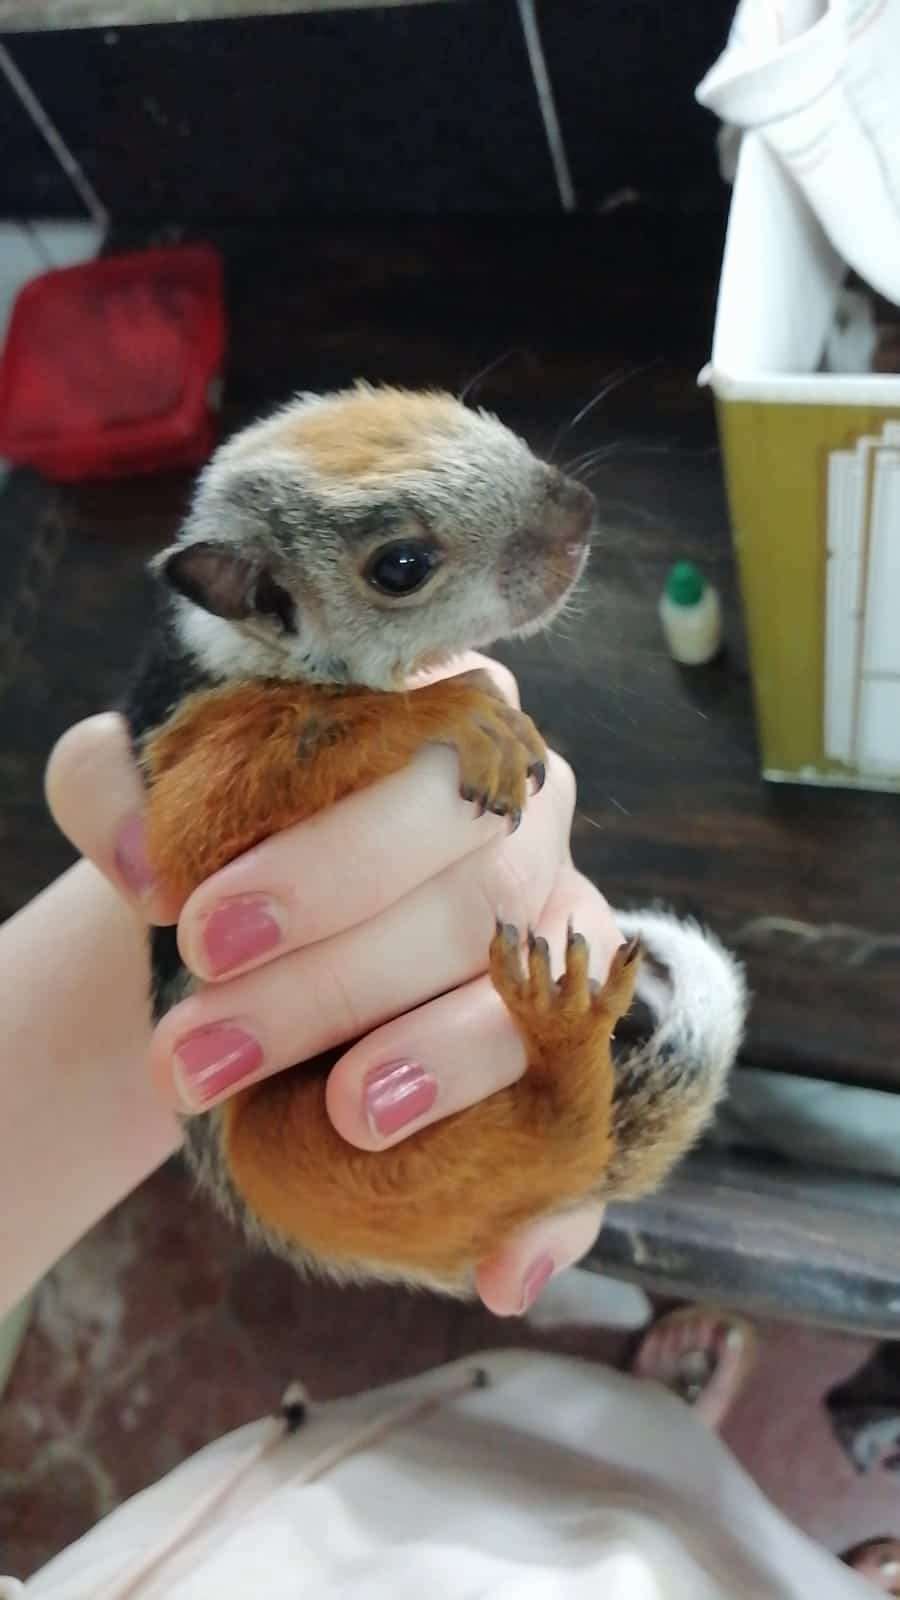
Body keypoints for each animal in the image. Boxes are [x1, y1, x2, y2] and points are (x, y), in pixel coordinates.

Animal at [122, 383, 746, 1295]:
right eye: (400, 567)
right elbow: (216, 807)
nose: (581, 511)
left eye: (458, 408)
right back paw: (561, 1043)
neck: (241, 652)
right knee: (548, 1128)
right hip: (309, 1154)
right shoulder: (188, 752)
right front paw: (453, 708)